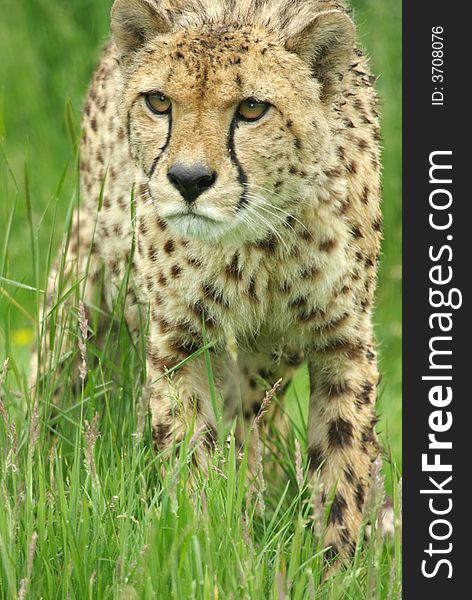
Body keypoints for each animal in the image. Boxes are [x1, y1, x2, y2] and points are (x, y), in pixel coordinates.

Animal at [36, 0, 384, 560]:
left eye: (252, 109)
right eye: (159, 102)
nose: (189, 180)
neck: (258, 245)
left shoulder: (343, 344)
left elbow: (343, 470)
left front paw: (335, 563)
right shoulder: (178, 342)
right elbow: (190, 449)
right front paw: (202, 539)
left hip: (267, 363)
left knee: (250, 423)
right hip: (82, 285)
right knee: (52, 383)